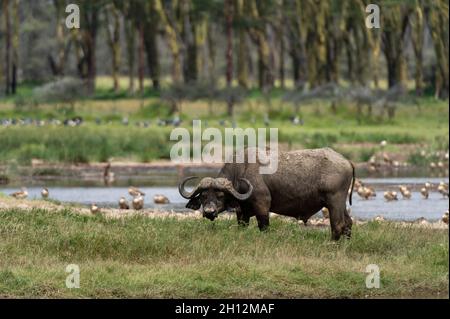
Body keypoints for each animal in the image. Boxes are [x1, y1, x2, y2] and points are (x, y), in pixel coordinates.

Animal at [179, 148, 356, 240]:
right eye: (203, 196)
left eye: (220, 196)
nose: (209, 212)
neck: (241, 171)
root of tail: (346, 161)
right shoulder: (241, 212)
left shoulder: (262, 205)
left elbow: (264, 227)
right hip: (340, 204)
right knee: (348, 223)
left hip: (334, 202)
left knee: (338, 225)